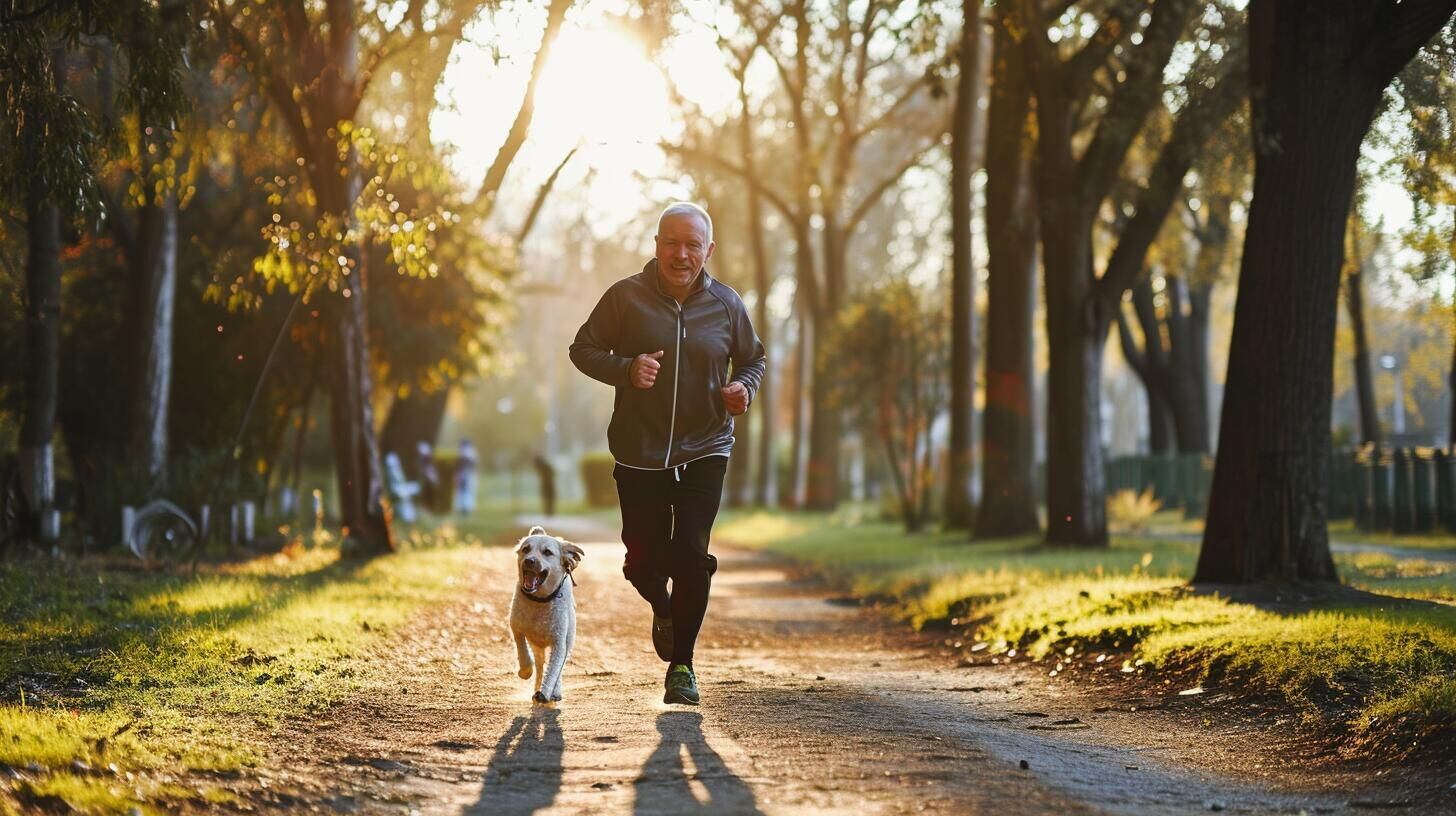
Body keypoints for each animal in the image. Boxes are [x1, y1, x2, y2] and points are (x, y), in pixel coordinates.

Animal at [509, 524, 582, 705]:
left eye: (548, 552)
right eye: (526, 549)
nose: (529, 561)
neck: (539, 600)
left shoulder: (559, 642)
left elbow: (554, 670)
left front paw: (545, 692)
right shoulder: (516, 627)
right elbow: (522, 650)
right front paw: (525, 671)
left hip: (568, 641)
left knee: (557, 669)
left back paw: (554, 692)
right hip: (537, 647)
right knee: (541, 665)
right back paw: (536, 684)